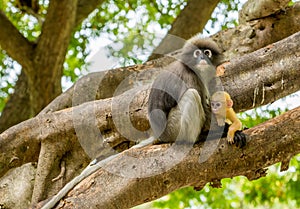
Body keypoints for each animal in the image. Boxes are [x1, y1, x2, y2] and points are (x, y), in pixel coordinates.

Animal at [40, 37, 246, 209]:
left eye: (207, 52)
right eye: (197, 53)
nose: (203, 57)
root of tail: (158, 134)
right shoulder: (188, 76)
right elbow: (204, 105)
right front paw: (228, 131)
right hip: (173, 128)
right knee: (191, 96)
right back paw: (196, 139)